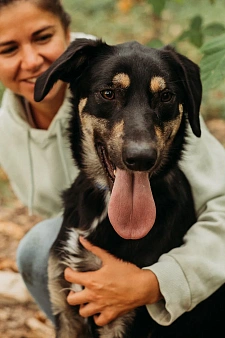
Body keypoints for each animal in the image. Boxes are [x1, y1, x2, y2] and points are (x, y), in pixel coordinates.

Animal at [34, 39, 225, 338]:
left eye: (166, 96)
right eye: (108, 93)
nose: (142, 158)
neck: (104, 208)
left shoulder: (125, 318)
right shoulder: (66, 310)